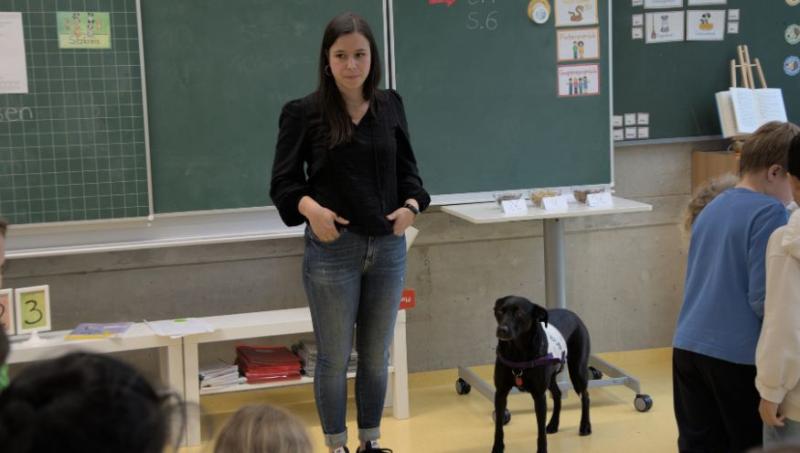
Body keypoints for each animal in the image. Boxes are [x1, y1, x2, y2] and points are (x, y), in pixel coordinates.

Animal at [490, 294, 592, 450]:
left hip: (578, 371)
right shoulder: (501, 393)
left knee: (585, 397)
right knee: (557, 395)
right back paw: (553, 424)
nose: (502, 329)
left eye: (519, 313)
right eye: (500, 311)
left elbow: (540, 431)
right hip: (551, 378)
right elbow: (499, 427)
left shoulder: (539, 396)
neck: (517, 351)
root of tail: (574, 315)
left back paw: (585, 426)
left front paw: (542, 449)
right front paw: (497, 447)